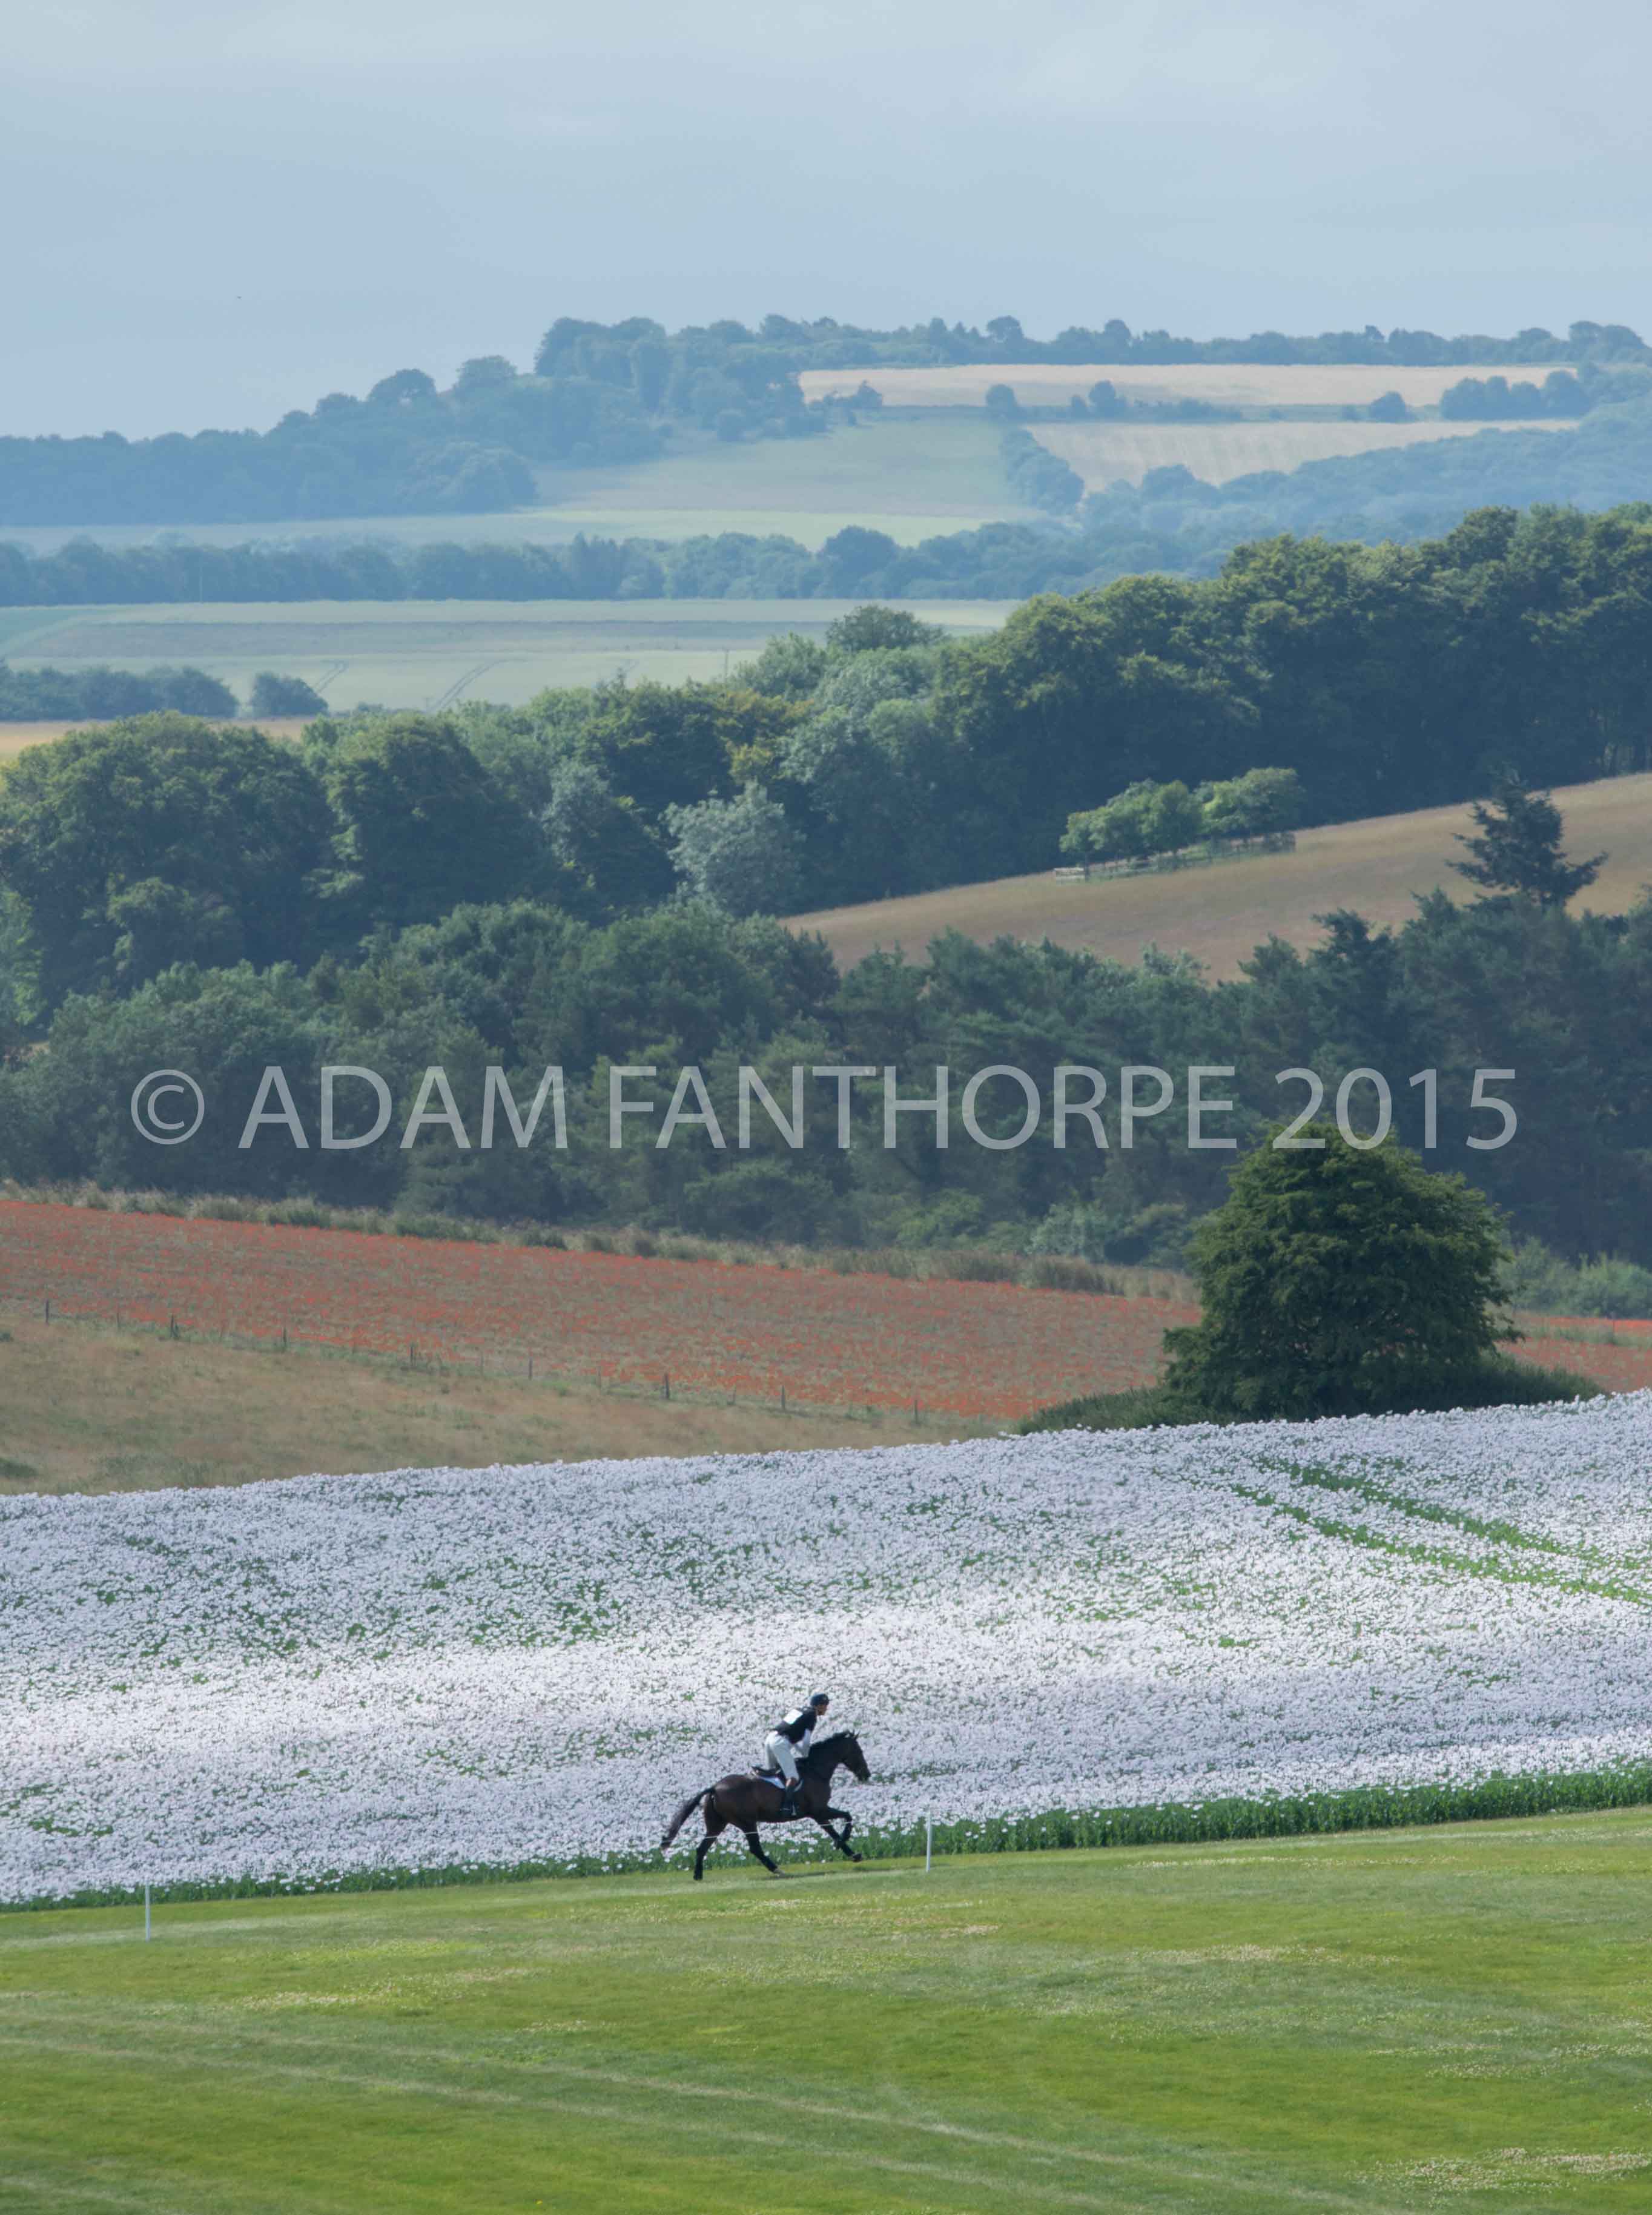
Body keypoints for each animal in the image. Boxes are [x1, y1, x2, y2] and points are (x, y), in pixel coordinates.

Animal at [655, 1728, 868, 1887]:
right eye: (859, 1751)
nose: (866, 1775)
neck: (816, 1771)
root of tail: (715, 1787)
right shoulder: (819, 1812)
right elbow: (844, 1820)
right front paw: (848, 1848)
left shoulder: (819, 1812)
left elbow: (842, 1821)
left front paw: (847, 1849)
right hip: (747, 1822)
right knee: (755, 1848)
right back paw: (778, 1870)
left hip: (718, 1824)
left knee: (702, 1847)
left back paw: (698, 1876)